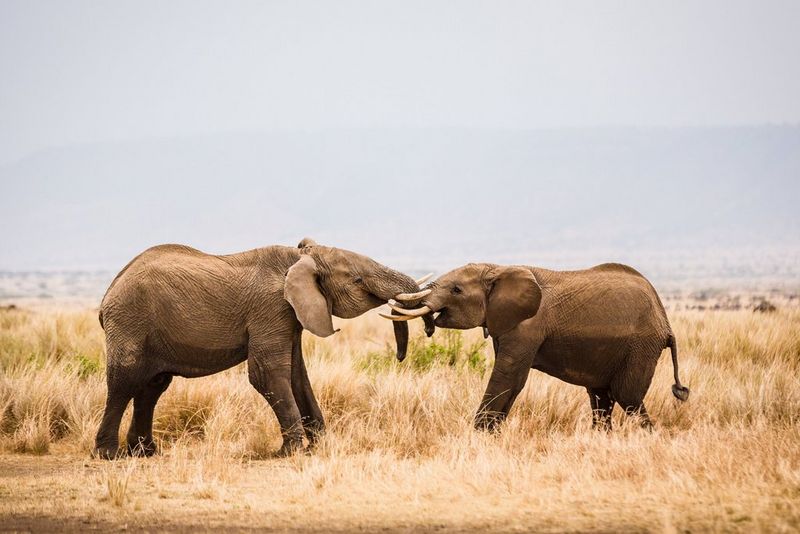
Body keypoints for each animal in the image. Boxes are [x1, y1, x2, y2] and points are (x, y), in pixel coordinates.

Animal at [93, 238, 431, 459]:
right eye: (358, 279)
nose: (400, 356)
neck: (299, 257)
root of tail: (108, 293)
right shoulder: (271, 309)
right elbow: (267, 373)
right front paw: (291, 451)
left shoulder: (291, 315)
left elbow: (297, 375)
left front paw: (318, 445)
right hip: (130, 320)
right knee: (124, 382)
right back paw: (109, 455)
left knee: (153, 386)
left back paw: (145, 453)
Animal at [383, 262, 689, 431]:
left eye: (456, 290)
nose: (429, 327)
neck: (499, 268)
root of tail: (666, 321)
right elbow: (514, 380)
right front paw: (491, 435)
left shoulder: (528, 325)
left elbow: (507, 375)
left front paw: (477, 435)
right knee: (601, 398)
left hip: (641, 346)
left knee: (628, 397)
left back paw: (648, 437)